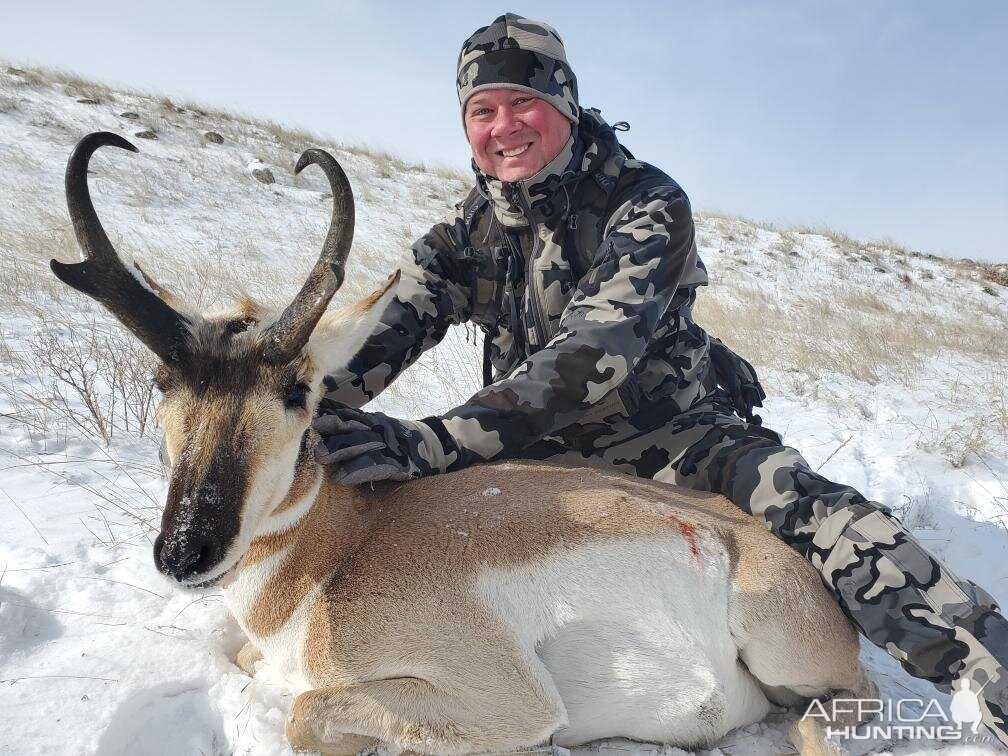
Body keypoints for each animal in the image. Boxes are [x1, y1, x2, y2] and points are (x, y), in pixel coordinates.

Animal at [55, 133, 874, 753]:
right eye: (162, 379)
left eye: (298, 391)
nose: (185, 550)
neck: (340, 548)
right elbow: (257, 666)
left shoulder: (507, 700)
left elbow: (305, 710)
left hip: (786, 652)